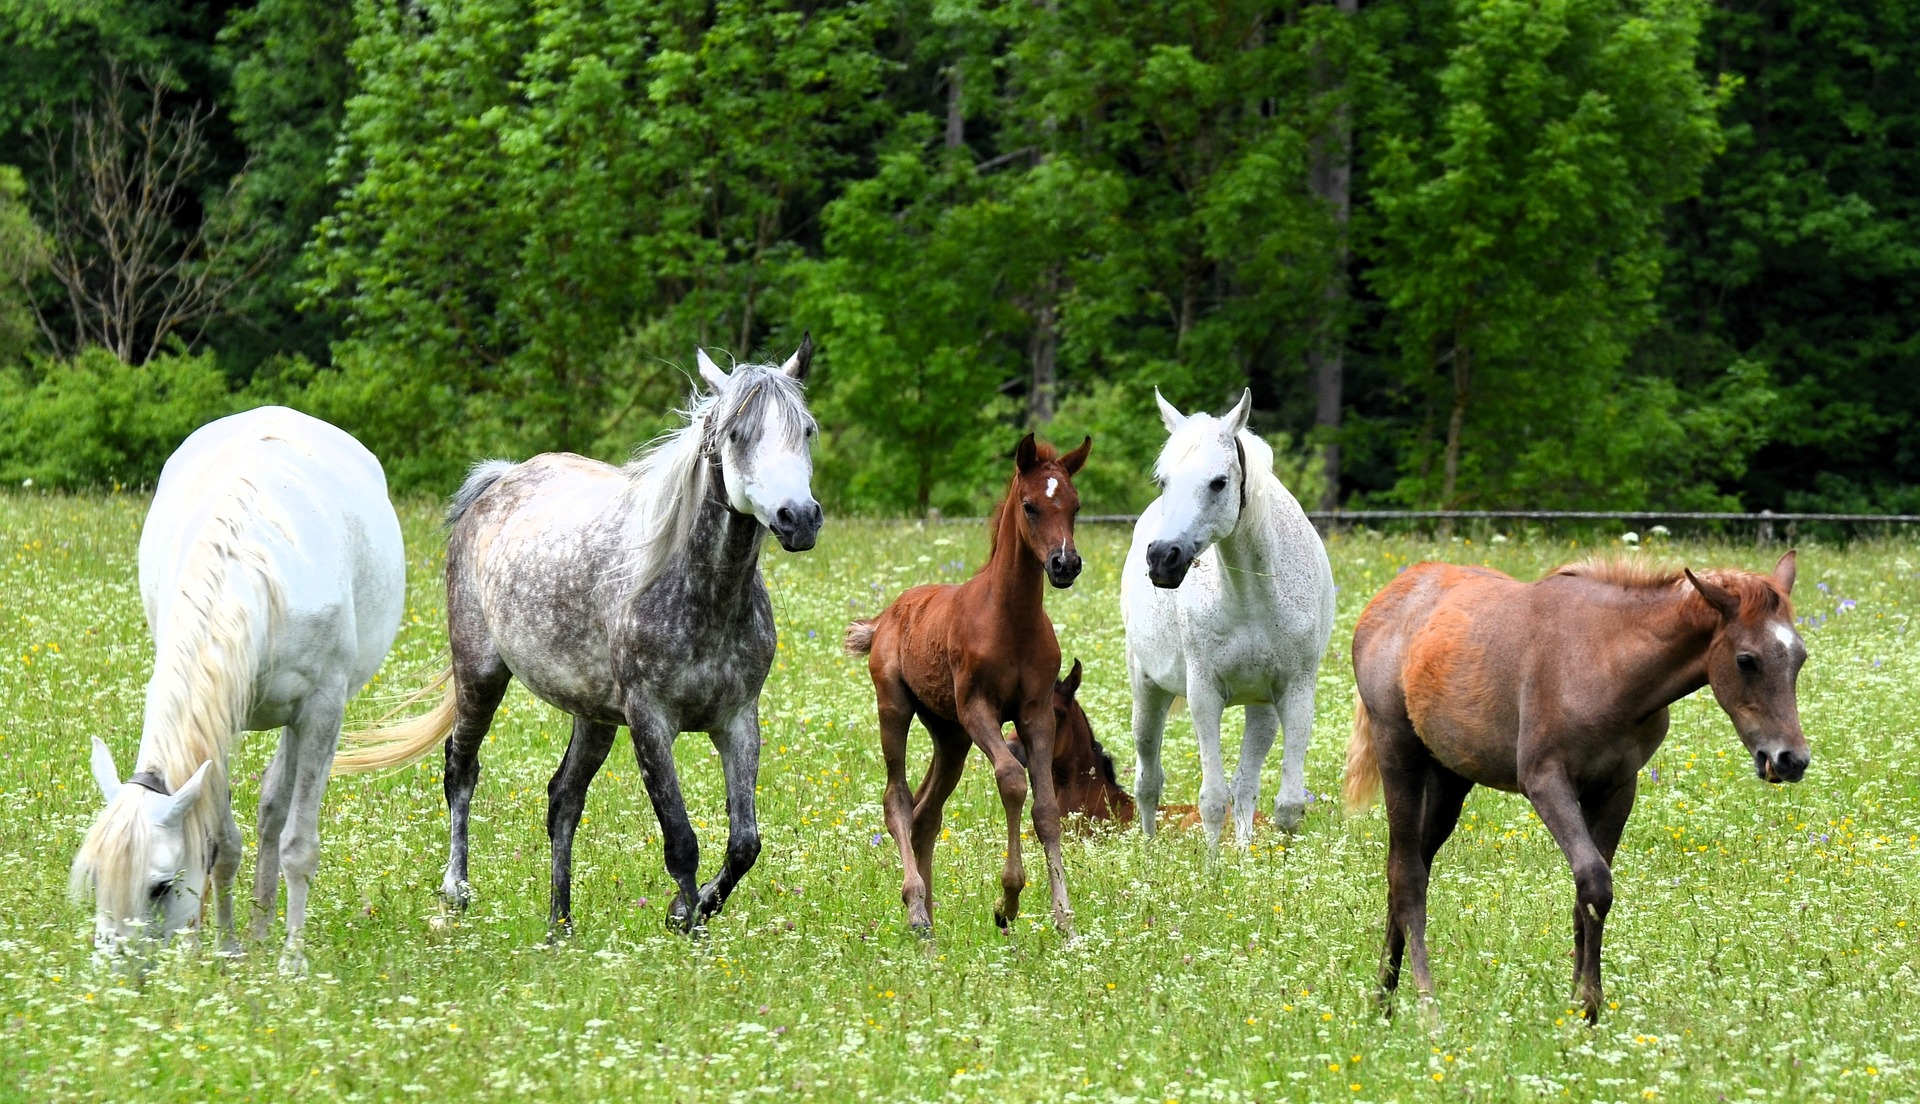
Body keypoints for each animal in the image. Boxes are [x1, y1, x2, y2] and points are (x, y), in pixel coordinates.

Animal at [72, 407, 405, 972]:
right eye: (95, 877)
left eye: (159, 887)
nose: (113, 980)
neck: (258, 579)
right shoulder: (217, 714)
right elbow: (221, 844)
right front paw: (225, 949)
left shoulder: (321, 710)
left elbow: (299, 843)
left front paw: (292, 962)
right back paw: (253, 927)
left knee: (278, 809)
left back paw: (270, 928)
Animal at [333, 340, 821, 935]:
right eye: (735, 434)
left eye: (807, 430)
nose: (799, 519)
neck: (704, 595)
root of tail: (499, 481)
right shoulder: (650, 721)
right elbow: (681, 841)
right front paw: (687, 924)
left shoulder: (737, 721)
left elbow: (744, 844)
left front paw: (690, 909)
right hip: (480, 675)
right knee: (460, 768)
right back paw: (457, 891)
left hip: (593, 717)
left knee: (562, 799)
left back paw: (559, 923)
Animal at [845, 433, 1091, 935]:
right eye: (1030, 505)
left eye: (1075, 505)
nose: (1065, 564)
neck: (1011, 620)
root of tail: (886, 616)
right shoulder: (978, 707)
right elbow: (1012, 779)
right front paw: (1007, 901)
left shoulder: (1036, 713)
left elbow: (1047, 810)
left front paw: (1065, 921)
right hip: (896, 708)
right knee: (897, 799)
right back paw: (916, 908)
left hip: (949, 735)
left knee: (926, 812)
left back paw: (930, 917)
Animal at [1122, 388, 1335, 846]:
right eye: (1164, 480)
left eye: (1219, 482)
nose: (1162, 558)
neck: (1252, 597)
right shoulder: (1204, 694)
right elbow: (1212, 800)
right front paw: (1212, 864)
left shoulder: (1295, 693)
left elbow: (1286, 804)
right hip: (1147, 692)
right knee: (1148, 780)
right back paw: (1148, 850)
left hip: (1261, 708)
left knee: (1246, 785)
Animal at [1344, 553, 1808, 1023]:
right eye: (1746, 660)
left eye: (1800, 657)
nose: (1791, 760)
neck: (1606, 661)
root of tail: (1391, 596)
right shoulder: (1546, 781)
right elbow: (1595, 883)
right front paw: (1587, 1004)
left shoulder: (1616, 789)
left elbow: (1586, 896)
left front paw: (1583, 1010)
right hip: (1398, 751)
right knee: (1406, 876)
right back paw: (1426, 1008)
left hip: (1449, 777)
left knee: (1410, 867)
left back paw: (1383, 999)